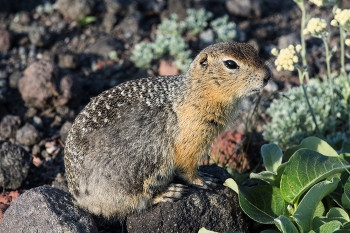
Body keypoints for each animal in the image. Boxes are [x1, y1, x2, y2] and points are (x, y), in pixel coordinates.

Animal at [63, 41, 270, 218]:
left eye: (253, 50)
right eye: (230, 64)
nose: (268, 75)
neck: (196, 92)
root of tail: (80, 198)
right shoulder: (191, 138)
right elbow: (187, 166)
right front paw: (204, 179)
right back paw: (169, 192)